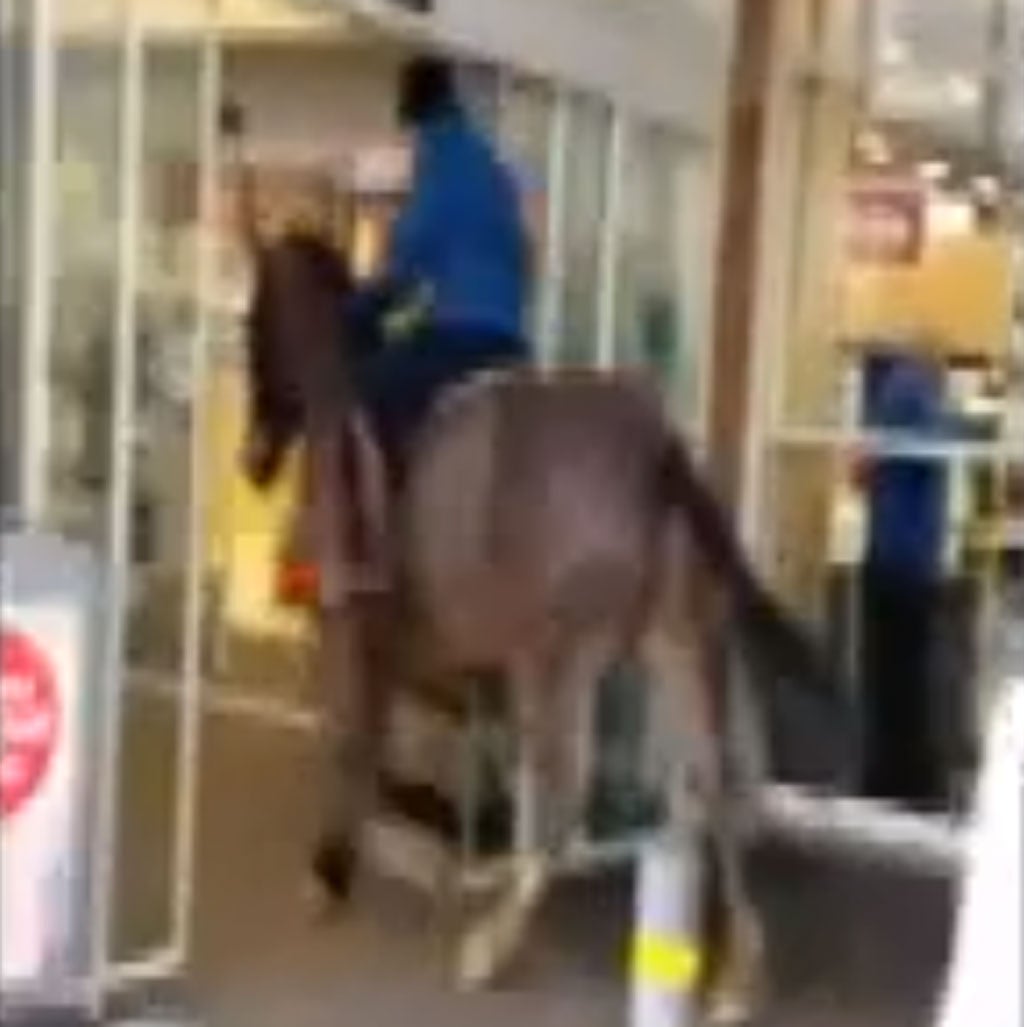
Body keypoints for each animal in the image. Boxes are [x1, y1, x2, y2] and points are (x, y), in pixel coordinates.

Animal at [237, 226, 846, 1018]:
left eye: (252, 323)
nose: (251, 458)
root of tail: (655, 449)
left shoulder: (350, 631)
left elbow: (348, 738)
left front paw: (332, 869)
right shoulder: (401, 649)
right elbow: (382, 736)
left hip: (556, 656)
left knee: (564, 802)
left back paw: (489, 949)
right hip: (679, 639)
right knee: (717, 783)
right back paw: (739, 977)